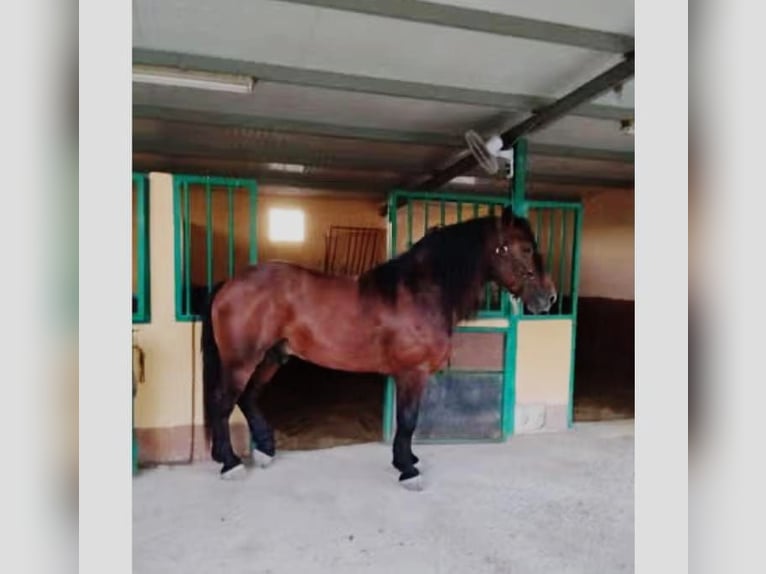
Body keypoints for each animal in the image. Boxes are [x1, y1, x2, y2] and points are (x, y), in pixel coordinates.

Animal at [201, 206, 557, 489]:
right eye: (525, 249)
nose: (549, 298)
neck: (420, 293)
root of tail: (230, 283)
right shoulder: (412, 373)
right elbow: (408, 419)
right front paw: (408, 469)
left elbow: (409, 422)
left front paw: (408, 459)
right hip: (241, 361)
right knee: (223, 403)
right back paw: (230, 464)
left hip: (272, 357)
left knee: (247, 398)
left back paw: (263, 451)